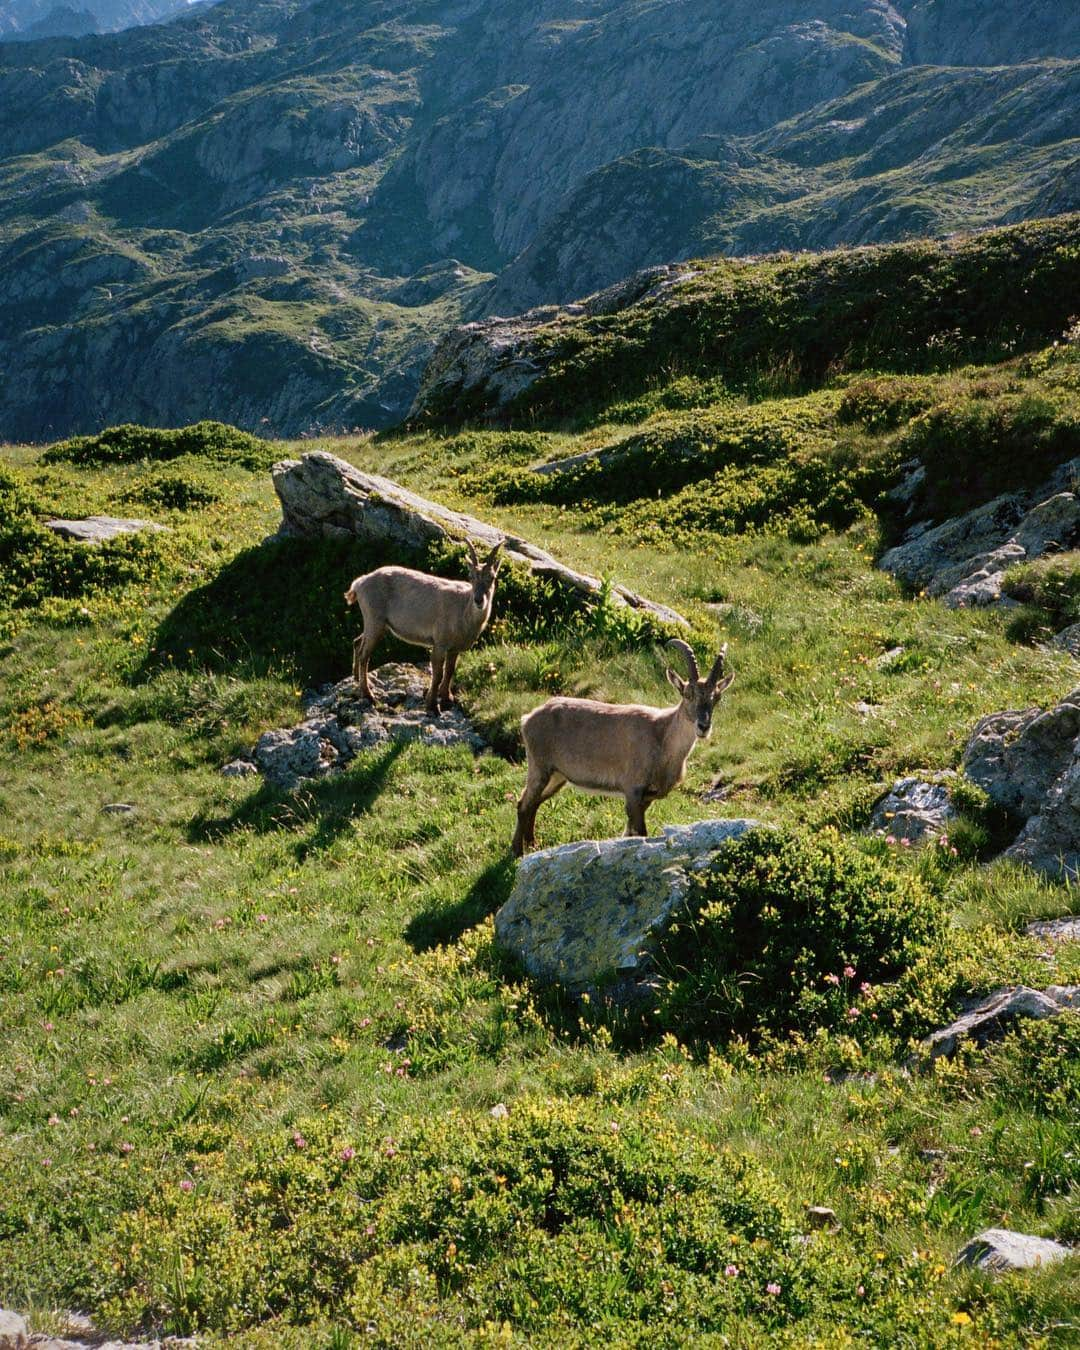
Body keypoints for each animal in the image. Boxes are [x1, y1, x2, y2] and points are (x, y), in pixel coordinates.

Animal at [344, 537, 504, 712]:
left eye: (492, 577)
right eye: (471, 576)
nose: (479, 600)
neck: (463, 610)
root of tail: (360, 583)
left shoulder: (454, 648)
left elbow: (450, 671)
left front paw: (447, 699)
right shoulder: (440, 643)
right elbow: (438, 674)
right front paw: (432, 705)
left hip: (375, 623)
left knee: (357, 642)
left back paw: (356, 678)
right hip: (375, 620)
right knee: (364, 654)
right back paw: (368, 695)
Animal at [513, 639, 734, 853]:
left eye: (716, 698)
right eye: (688, 694)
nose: (703, 726)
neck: (662, 740)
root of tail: (527, 719)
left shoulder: (646, 798)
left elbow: (629, 832)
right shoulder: (633, 791)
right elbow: (640, 832)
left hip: (557, 775)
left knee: (534, 803)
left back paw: (532, 845)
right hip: (540, 768)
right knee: (523, 804)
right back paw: (517, 851)